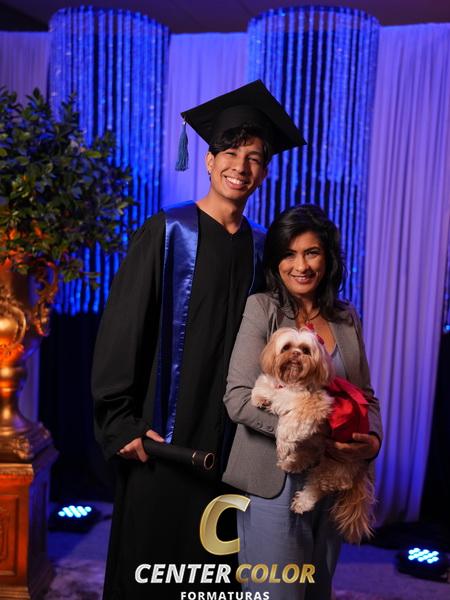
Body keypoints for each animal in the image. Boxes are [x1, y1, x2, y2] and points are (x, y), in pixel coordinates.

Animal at [251, 326, 374, 543]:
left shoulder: (315, 407)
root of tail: (361, 468)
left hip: (334, 466)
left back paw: (302, 500)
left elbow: (288, 425)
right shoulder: (276, 387)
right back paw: (292, 463)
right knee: (308, 455)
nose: (296, 354)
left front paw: (283, 446)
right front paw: (261, 398)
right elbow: (264, 387)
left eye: (306, 350)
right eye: (286, 347)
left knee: (318, 487)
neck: (291, 383)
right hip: (318, 448)